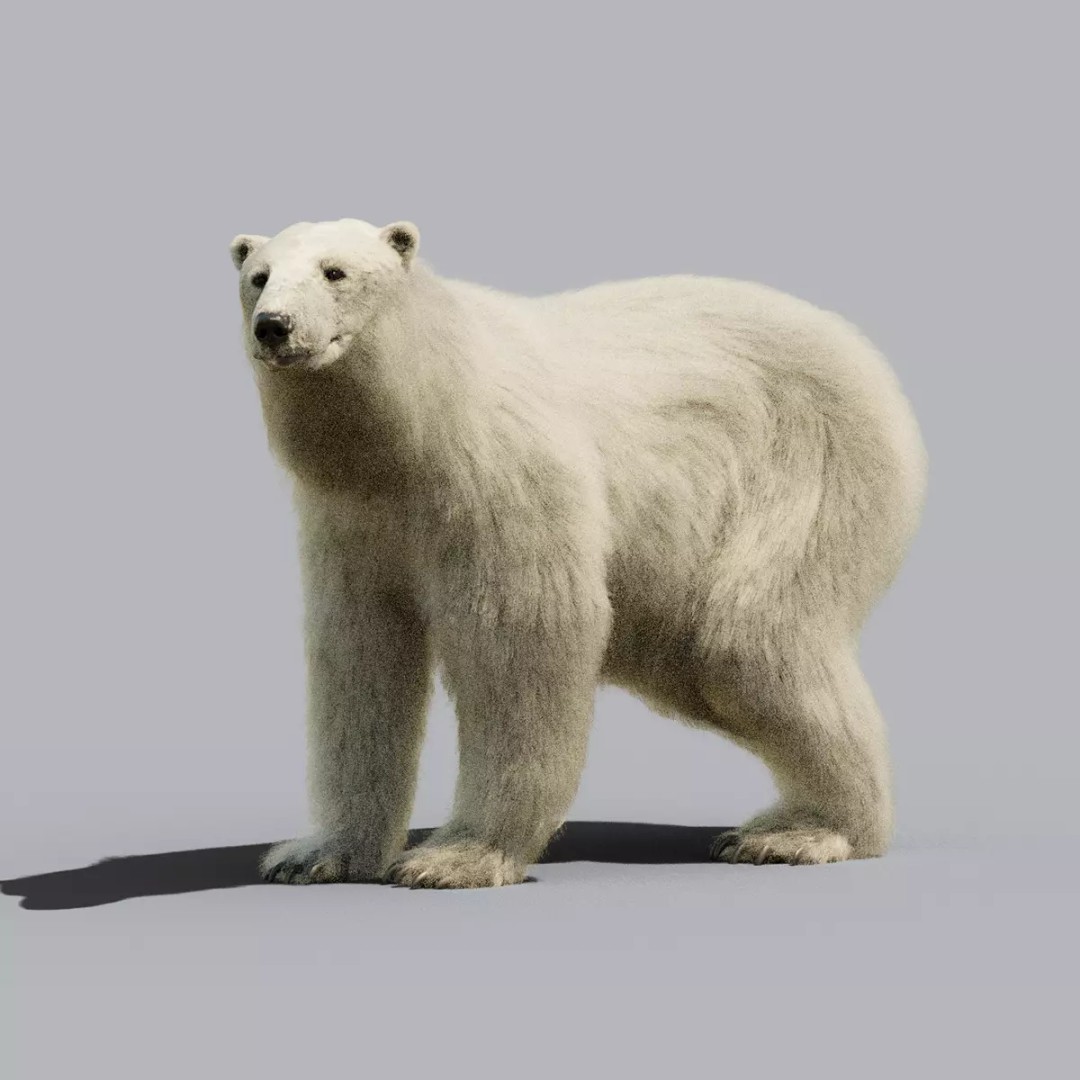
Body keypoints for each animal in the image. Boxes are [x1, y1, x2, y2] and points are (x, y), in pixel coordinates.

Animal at [229, 218, 927, 889]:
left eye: (335, 271)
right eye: (258, 276)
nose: (274, 326)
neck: (417, 426)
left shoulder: (502, 480)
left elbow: (525, 642)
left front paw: (456, 858)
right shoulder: (354, 522)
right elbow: (361, 658)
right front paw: (317, 855)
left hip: (809, 474)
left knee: (742, 644)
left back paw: (799, 832)